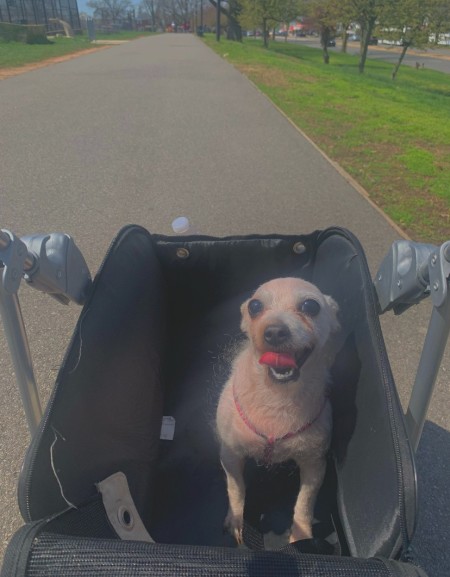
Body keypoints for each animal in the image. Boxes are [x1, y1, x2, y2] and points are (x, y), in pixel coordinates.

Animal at [216, 276, 340, 544]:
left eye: (310, 306)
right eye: (254, 307)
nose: (273, 331)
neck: (277, 395)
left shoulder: (314, 465)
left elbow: (304, 504)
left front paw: (301, 537)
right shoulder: (230, 455)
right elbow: (236, 488)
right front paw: (236, 520)